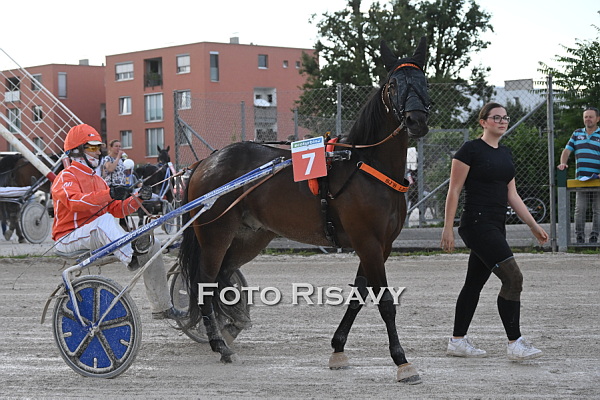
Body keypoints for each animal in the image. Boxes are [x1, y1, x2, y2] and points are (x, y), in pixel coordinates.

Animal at [178, 37, 431, 384]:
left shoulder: (380, 246)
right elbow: (385, 302)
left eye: (424, 80)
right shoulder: (368, 242)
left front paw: (338, 349)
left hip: (250, 238)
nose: (417, 120)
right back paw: (219, 344)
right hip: (215, 235)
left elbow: (358, 296)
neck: (366, 166)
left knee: (222, 279)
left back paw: (229, 327)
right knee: (205, 284)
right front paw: (402, 361)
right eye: (393, 84)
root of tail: (206, 160)